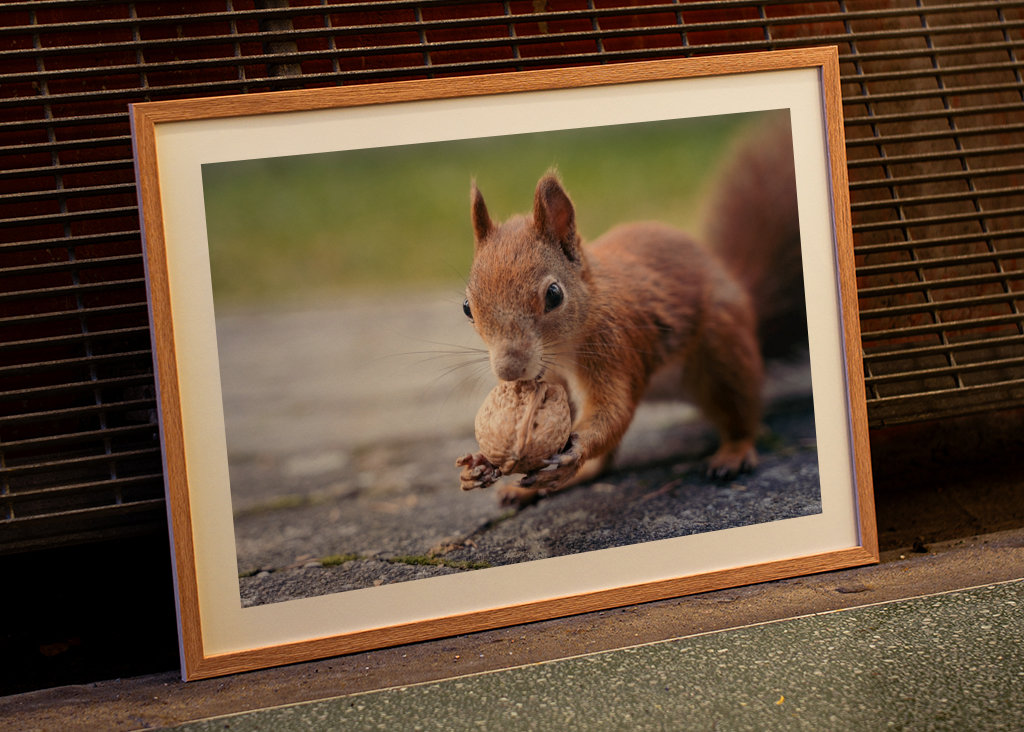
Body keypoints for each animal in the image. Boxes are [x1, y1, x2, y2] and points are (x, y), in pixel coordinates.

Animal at [457, 120, 804, 505]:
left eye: (553, 295)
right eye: (468, 307)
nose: (509, 371)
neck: (564, 347)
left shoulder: (614, 347)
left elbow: (614, 411)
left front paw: (573, 453)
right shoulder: (553, 381)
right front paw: (482, 463)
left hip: (724, 352)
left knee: (742, 414)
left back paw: (734, 453)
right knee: (605, 464)